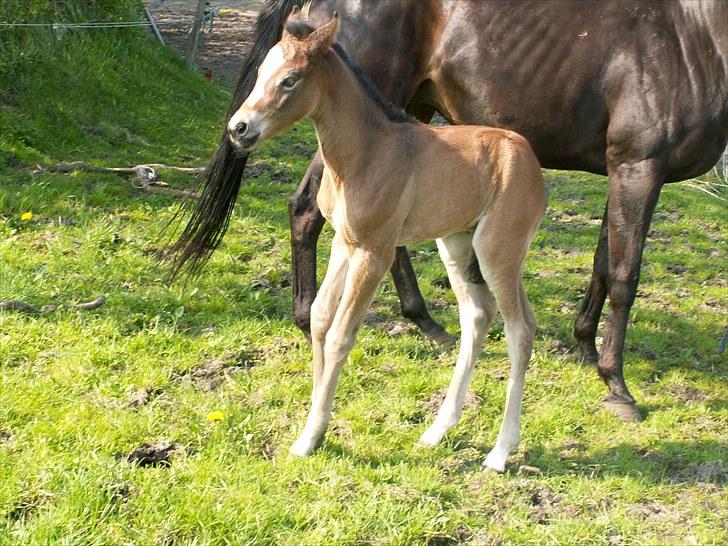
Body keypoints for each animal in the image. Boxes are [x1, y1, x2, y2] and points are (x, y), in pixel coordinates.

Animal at [169, 0, 728, 418]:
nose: (240, 127)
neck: (693, 34)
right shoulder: (640, 166)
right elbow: (626, 275)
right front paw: (618, 385)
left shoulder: (624, 169)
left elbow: (603, 265)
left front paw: (584, 347)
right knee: (307, 208)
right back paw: (311, 319)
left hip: (408, 111)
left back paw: (423, 321)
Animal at [228, 10, 544, 472]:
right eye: (261, 72)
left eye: (291, 79)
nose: (239, 128)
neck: (366, 153)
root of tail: (531, 161)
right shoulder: (344, 244)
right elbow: (320, 318)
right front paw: (314, 427)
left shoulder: (374, 252)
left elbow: (341, 333)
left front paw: (309, 439)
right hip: (456, 245)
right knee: (477, 317)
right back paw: (436, 431)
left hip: (498, 251)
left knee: (520, 329)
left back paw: (500, 452)